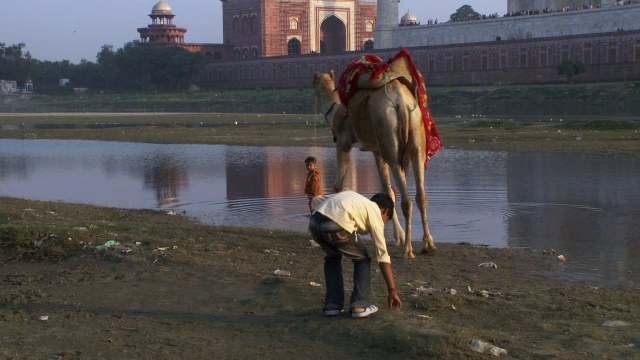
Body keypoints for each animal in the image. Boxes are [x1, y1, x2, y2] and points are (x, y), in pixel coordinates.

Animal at [312, 68, 438, 258]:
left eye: (315, 87)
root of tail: (401, 103)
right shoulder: (376, 149)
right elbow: (388, 191)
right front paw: (398, 236)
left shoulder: (343, 142)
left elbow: (338, 184)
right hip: (417, 139)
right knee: (421, 196)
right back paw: (428, 244)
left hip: (388, 135)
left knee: (406, 199)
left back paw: (408, 250)